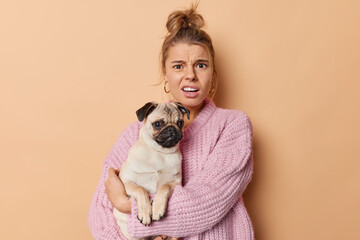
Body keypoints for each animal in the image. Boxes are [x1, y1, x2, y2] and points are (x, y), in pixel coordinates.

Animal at [114, 101, 190, 240]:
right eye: (158, 124)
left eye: (180, 123)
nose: (172, 129)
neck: (159, 152)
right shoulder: (126, 182)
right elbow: (140, 190)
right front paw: (145, 212)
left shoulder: (176, 182)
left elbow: (164, 187)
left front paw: (157, 209)